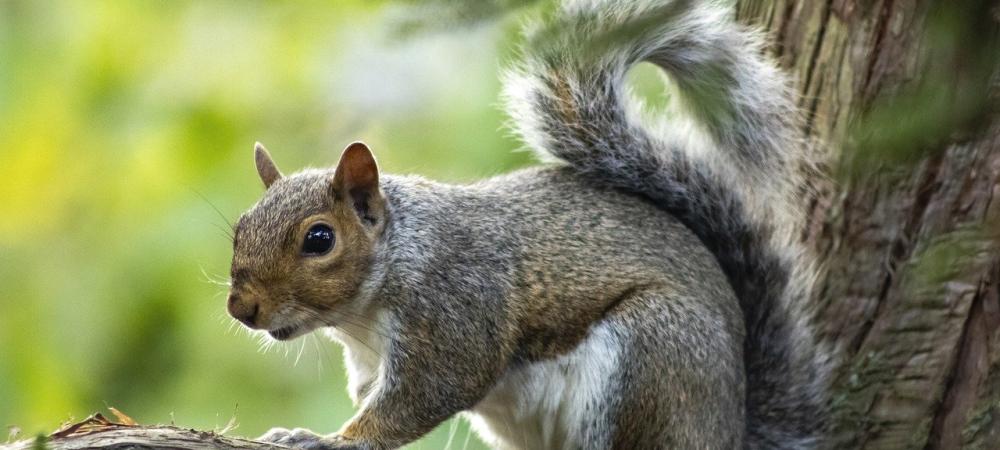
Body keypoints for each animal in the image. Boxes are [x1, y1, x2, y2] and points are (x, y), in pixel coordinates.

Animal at [227, 0, 828, 450]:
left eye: (319, 238)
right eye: (239, 229)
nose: (241, 308)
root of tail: (729, 424)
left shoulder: (458, 310)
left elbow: (421, 398)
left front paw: (327, 439)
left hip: (655, 354)